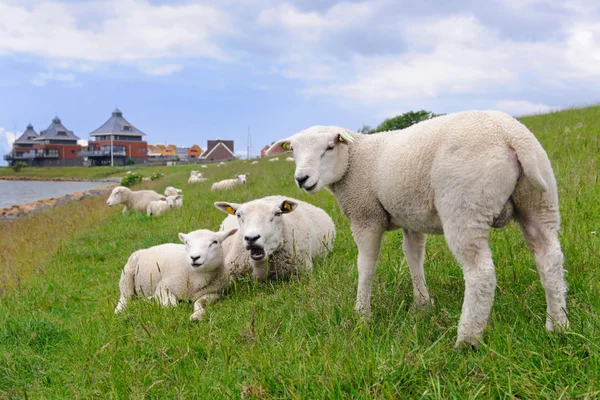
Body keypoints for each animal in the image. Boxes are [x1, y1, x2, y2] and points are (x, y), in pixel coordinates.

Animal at [270, 111, 568, 348]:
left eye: (330, 147)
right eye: (293, 150)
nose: (302, 179)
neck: (355, 161)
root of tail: (511, 135)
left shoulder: (366, 216)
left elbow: (365, 266)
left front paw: (362, 314)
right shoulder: (411, 218)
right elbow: (414, 258)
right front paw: (422, 305)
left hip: (465, 206)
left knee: (480, 274)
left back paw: (467, 340)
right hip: (539, 201)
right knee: (550, 258)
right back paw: (557, 325)